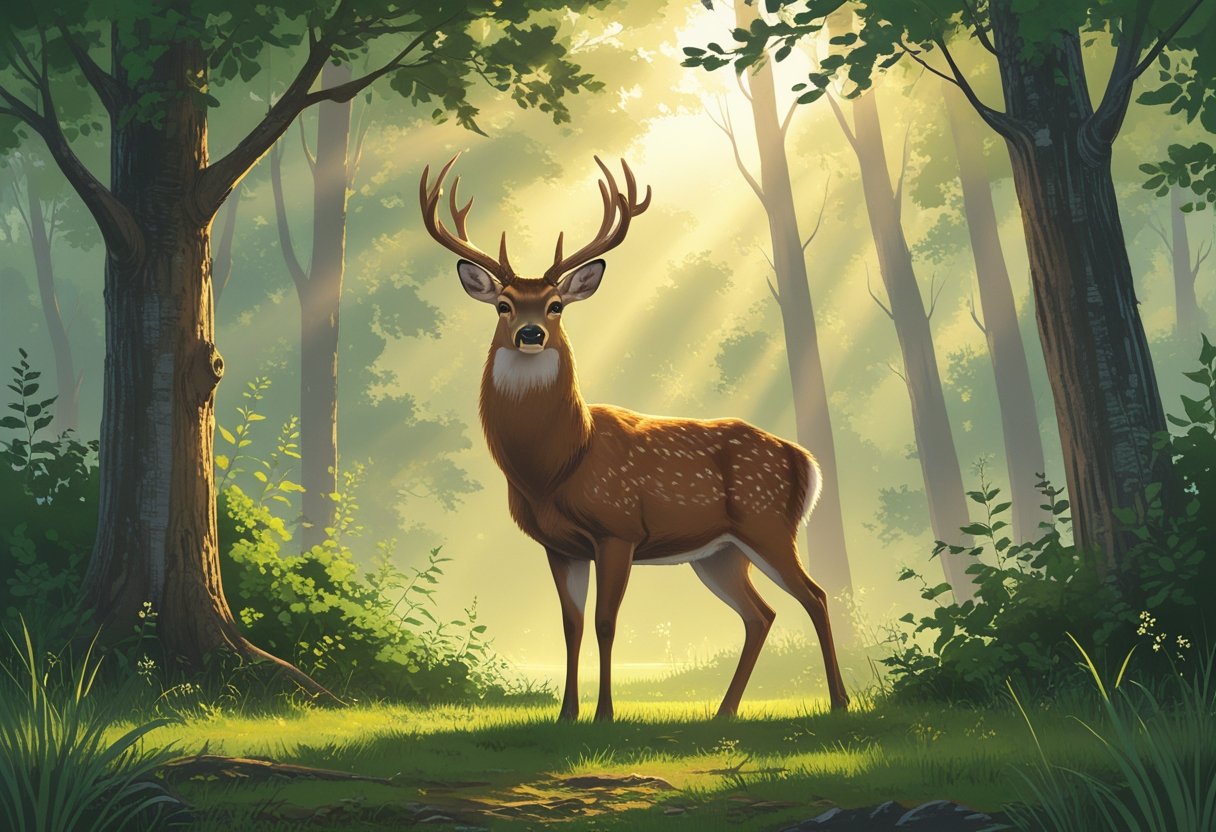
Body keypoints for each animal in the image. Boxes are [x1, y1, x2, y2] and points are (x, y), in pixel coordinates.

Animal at [419, 154, 849, 721]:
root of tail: (805, 460)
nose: (531, 334)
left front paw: (604, 714)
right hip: (718, 552)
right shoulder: (559, 545)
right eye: (503, 305)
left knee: (814, 596)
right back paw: (724, 711)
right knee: (761, 614)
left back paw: (840, 701)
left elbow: (606, 623)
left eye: (556, 305)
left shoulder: (618, 528)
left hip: (769, 524)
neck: (557, 465)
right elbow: (571, 626)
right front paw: (567, 715)